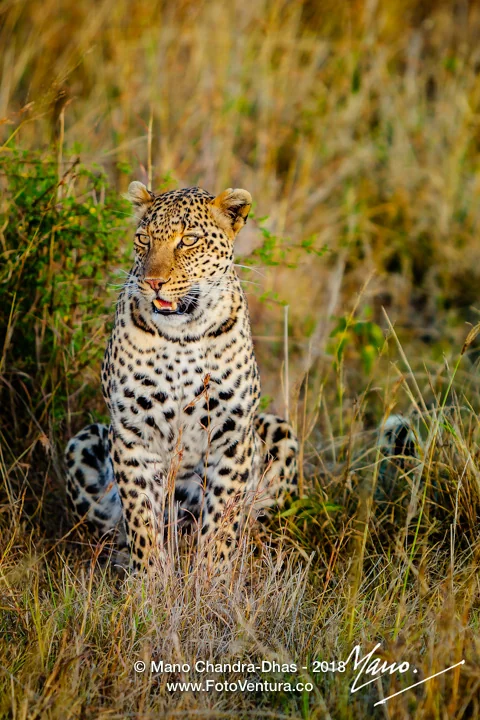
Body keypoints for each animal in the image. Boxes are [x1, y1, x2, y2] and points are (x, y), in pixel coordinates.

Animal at [64, 181, 298, 571]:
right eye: (143, 239)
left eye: (187, 241)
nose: (153, 282)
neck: (182, 336)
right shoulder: (133, 434)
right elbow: (141, 519)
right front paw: (148, 580)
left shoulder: (232, 436)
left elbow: (221, 523)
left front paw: (211, 578)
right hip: (82, 442)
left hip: (279, 433)